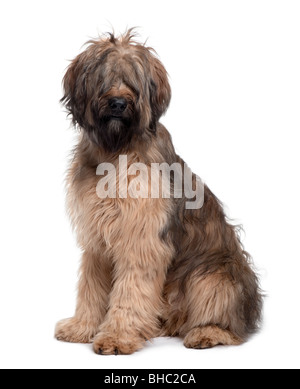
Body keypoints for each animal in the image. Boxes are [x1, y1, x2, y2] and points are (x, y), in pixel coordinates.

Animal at [55, 28, 262, 354]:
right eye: (104, 77)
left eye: (133, 81)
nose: (118, 103)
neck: (116, 151)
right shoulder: (97, 240)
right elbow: (92, 286)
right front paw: (82, 326)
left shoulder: (142, 237)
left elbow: (130, 290)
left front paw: (117, 336)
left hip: (214, 273)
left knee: (228, 320)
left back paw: (207, 332)